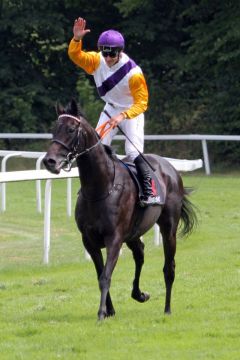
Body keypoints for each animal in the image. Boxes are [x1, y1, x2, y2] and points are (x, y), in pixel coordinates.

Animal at [43, 99, 197, 320]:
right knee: (140, 254)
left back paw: (167, 309)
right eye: (54, 130)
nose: (49, 161)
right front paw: (110, 310)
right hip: (133, 233)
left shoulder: (114, 238)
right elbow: (100, 273)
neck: (100, 187)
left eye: (71, 129)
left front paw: (101, 313)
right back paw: (139, 294)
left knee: (169, 267)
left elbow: (105, 276)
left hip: (168, 228)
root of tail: (171, 168)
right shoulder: (89, 240)